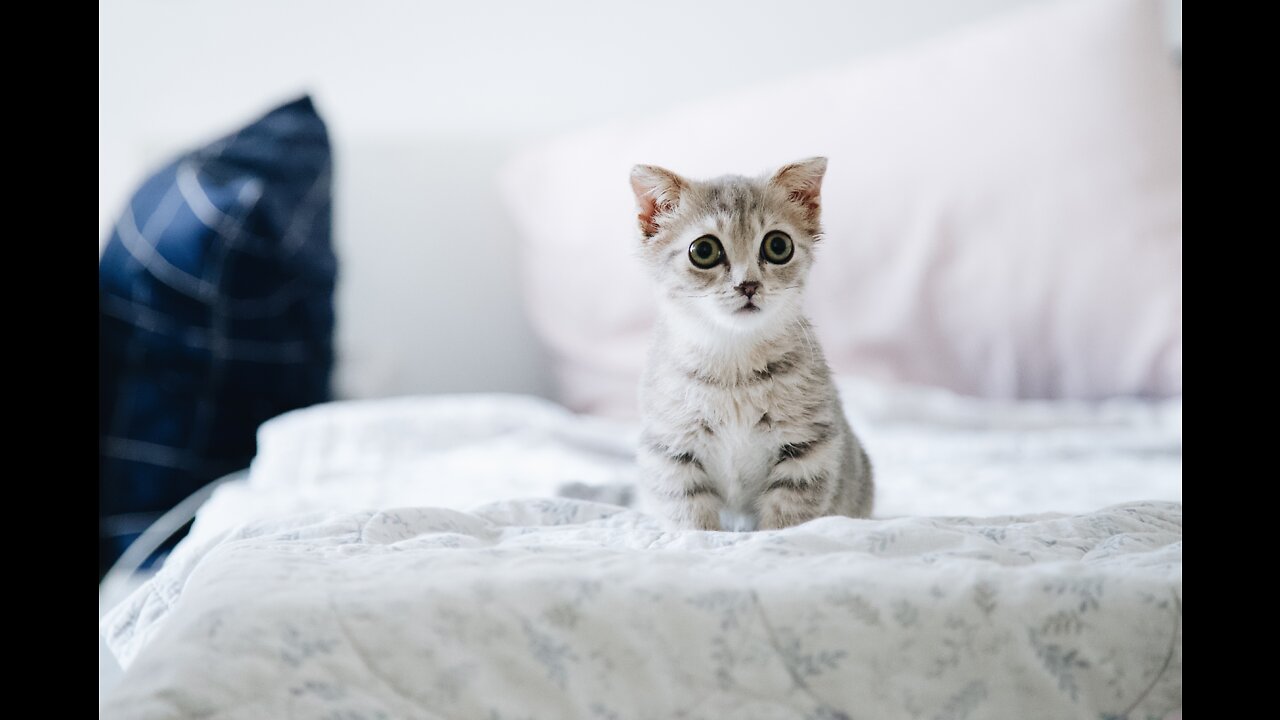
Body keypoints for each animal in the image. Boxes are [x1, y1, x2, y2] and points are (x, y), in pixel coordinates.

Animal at [627, 156, 870, 527]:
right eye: (704, 250)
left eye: (778, 246)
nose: (748, 285)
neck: (734, 370)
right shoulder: (670, 452)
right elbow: (691, 518)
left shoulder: (808, 451)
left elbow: (785, 521)